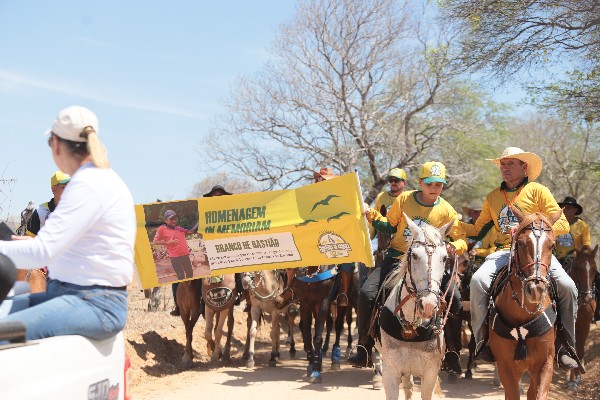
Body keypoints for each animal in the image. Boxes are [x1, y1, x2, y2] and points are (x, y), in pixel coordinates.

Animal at [487, 208, 562, 400]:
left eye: (552, 245)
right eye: (520, 243)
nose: (536, 289)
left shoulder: (545, 363)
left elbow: (539, 393)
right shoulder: (505, 365)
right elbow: (512, 393)